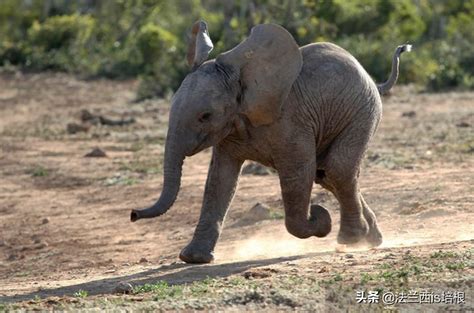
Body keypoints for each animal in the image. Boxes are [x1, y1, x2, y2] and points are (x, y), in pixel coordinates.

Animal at [130, 20, 412, 262]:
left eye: (205, 116)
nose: (133, 214)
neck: (240, 78)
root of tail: (373, 80)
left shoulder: (290, 122)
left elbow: (297, 174)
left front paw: (320, 219)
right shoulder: (230, 130)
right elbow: (219, 180)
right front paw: (194, 259)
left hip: (362, 112)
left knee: (336, 169)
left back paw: (351, 240)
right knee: (327, 175)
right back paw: (371, 239)